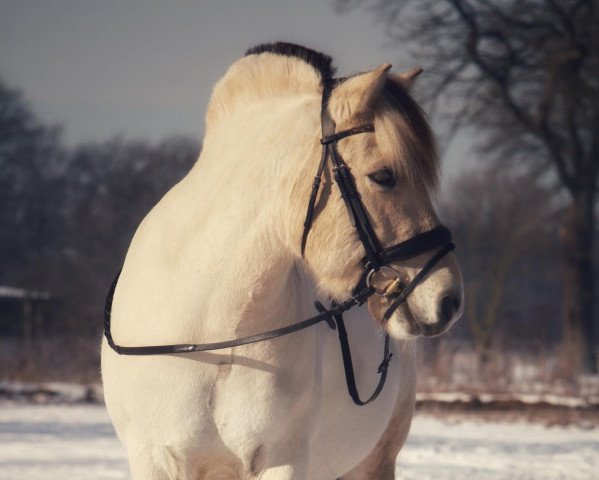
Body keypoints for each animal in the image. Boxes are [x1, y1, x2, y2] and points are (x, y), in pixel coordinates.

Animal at [102, 42, 464, 480]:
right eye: (383, 176)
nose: (448, 299)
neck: (207, 336)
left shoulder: (282, 459)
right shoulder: (155, 458)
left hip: (374, 461)